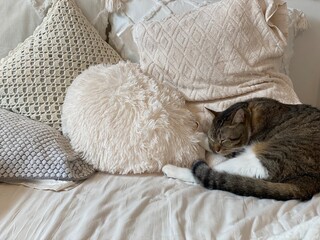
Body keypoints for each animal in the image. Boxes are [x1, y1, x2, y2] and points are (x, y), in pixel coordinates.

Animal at [162, 97, 320, 201]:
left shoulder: (236, 149)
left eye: (223, 140)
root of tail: (311, 183)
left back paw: (171, 169)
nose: (216, 148)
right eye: (213, 138)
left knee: (208, 172)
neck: (249, 109)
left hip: (266, 157)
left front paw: (199, 137)